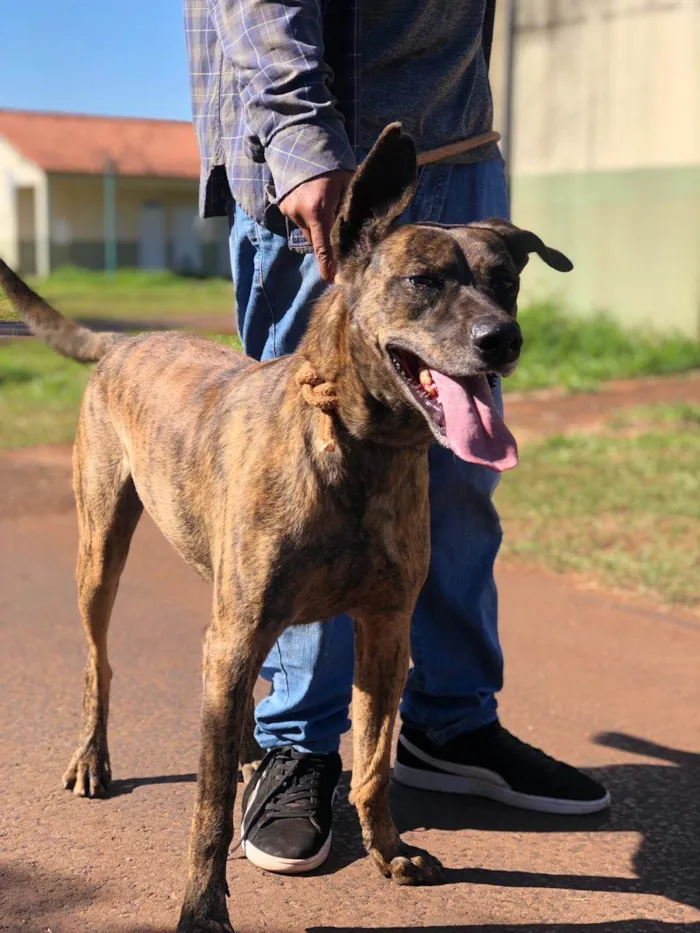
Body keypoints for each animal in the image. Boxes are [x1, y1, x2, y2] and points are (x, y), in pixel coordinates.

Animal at [0, 125, 568, 932]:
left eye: (506, 283)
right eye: (422, 281)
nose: (504, 339)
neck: (359, 449)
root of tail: (123, 342)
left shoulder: (385, 629)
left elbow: (372, 763)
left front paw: (390, 852)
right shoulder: (237, 632)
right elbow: (207, 805)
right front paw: (202, 906)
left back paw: (243, 743)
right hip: (102, 550)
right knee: (98, 663)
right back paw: (95, 757)